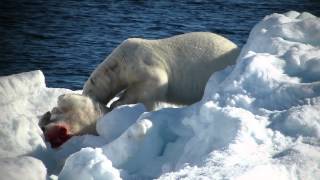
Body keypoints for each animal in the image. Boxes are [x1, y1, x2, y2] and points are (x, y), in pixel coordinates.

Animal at [40, 32, 239, 148]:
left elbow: (153, 84)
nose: (45, 127)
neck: (119, 62)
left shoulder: (144, 64)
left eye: (57, 111)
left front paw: (119, 104)